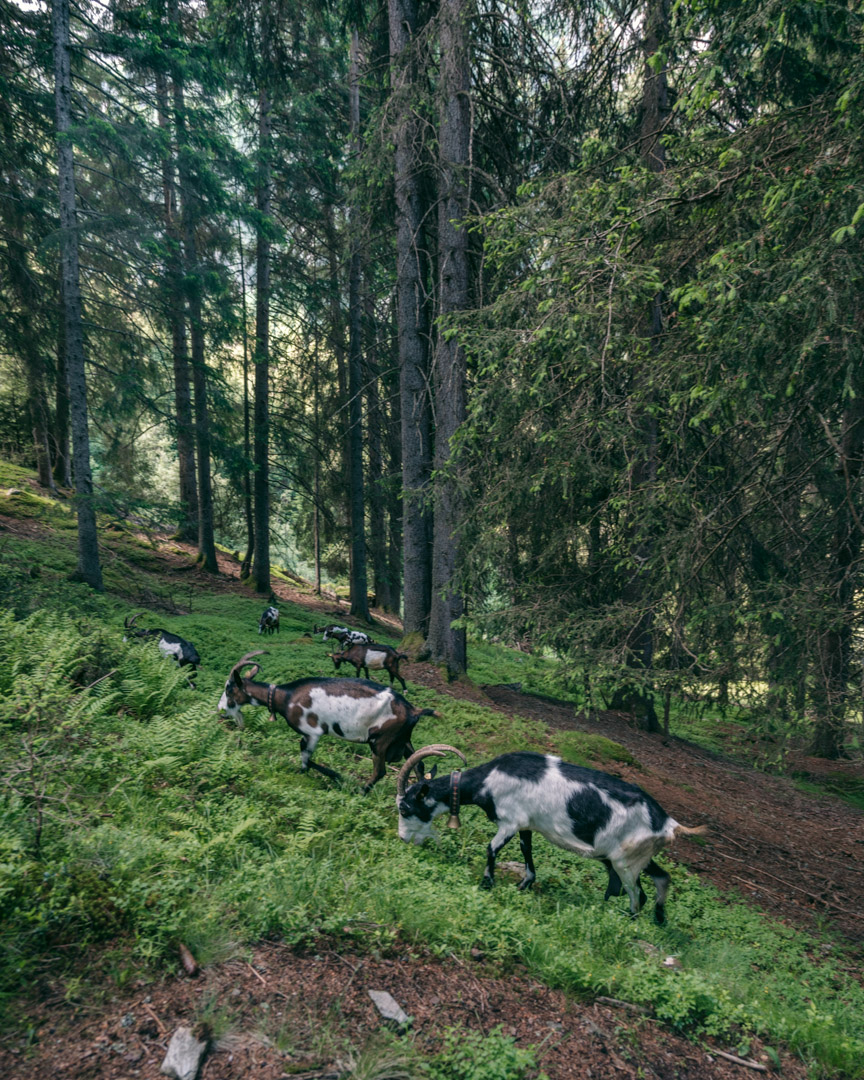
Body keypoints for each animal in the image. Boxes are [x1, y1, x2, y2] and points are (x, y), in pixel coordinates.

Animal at [219, 648, 442, 794]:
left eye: (229, 689)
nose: (220, 711)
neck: (286, 697)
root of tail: (413, 711)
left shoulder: (312, 732)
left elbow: (306, 757)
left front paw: (329, 775)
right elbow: (305, 756)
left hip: (381, 741)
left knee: (380, 771)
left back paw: (360, 792)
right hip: (403, 740)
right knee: (419, 765)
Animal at [397, 747, 708, 924]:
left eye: (404, 807)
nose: (402, 839)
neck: (488, 780)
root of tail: (668, 824)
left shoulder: (509, 822)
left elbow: (491, 849)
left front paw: (487, 884)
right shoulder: (525, 824)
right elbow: (527, 852)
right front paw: (523, 886)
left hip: (624, 862)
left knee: (638, 896)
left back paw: (624, 923)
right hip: (634, 856)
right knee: (662, 878)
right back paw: (658, 920)